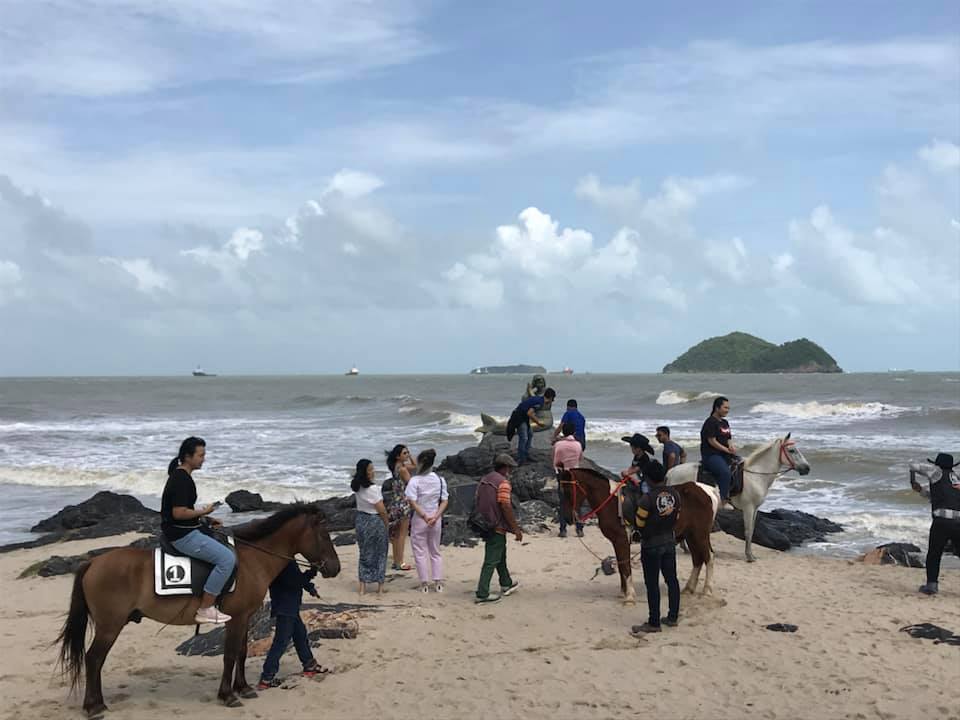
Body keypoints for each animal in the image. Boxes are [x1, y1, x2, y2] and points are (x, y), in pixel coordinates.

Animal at [56, 504, 342, 716]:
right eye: (324, 535)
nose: (335, 568)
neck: (252, 559)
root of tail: (92, 562)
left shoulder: (245, 618)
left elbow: (241, 652)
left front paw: (243, 688)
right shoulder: (236, 618)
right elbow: (230, 655)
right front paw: (227, 695)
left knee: (95, 660)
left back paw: (98, 703)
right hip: (110, 625)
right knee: (94, 659)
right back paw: (93, 706)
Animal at [556, 466, 720, 600]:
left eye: (568, 491)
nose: (567, 518)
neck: (611, 503)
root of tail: (708, 490)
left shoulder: (621, 540)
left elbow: (625, 566)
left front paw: (629, 595)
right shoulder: (617, 541)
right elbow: (621, 565)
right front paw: (623, 592)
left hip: (700, 534)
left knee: (708, 557)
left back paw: (707, 590)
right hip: (691, 535)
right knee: (698, 559)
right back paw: (689, 588)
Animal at [668, 434, 808, 564]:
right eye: (792, 450)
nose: (807, 468)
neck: (755, 476)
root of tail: (671, 472)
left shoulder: (755, 509)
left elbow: (752, 531)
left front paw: (751, 554)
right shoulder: (748, 508)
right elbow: (747, 531)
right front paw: (749, 556)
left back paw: (685, 548)